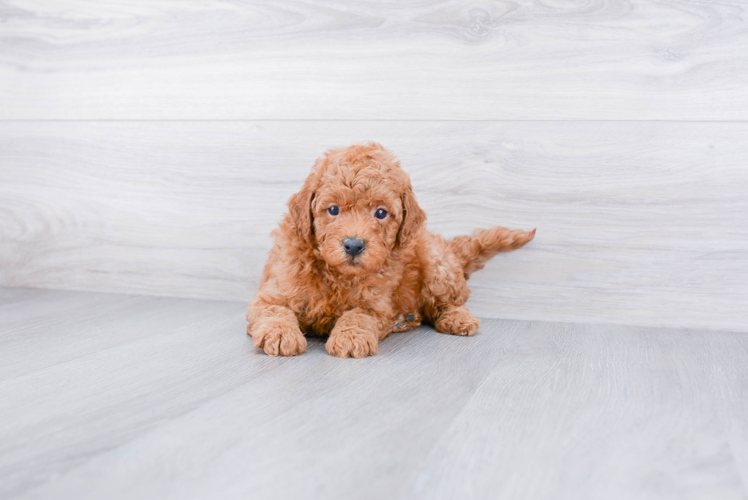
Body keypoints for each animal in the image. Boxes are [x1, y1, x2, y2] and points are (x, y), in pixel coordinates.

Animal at [248, 143, 536, 358]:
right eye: (333, 209)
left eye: (381, 213)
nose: (354, 245)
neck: (337, 275)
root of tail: (445, 245)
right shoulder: (272, 291)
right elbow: (274, 311)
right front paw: (280, 334)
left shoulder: (376, 304)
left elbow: (359, 315)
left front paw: (351, 337)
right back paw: (405, 319)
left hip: (436, 265)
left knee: (450, 300)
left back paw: (455, 319)